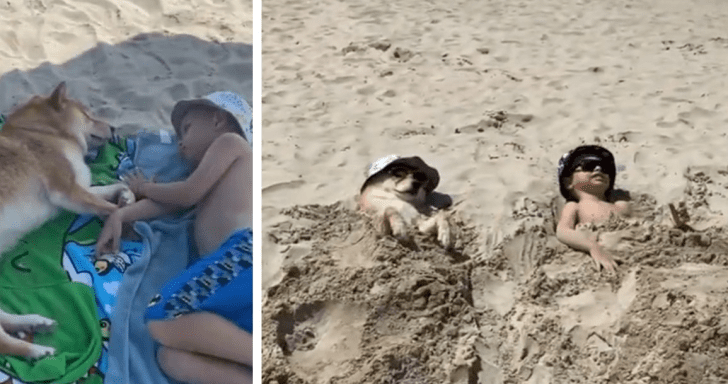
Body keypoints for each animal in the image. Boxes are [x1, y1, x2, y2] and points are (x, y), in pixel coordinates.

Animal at [0, 82, 134, 360]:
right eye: (88, 114)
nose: (114, 128)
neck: (45, 131)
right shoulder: (67, 191)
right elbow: (108, 208)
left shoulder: (77, 189)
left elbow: (109, 188)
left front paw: (126, 196)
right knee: (1, 341)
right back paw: (35, 350)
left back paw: (33, 323)